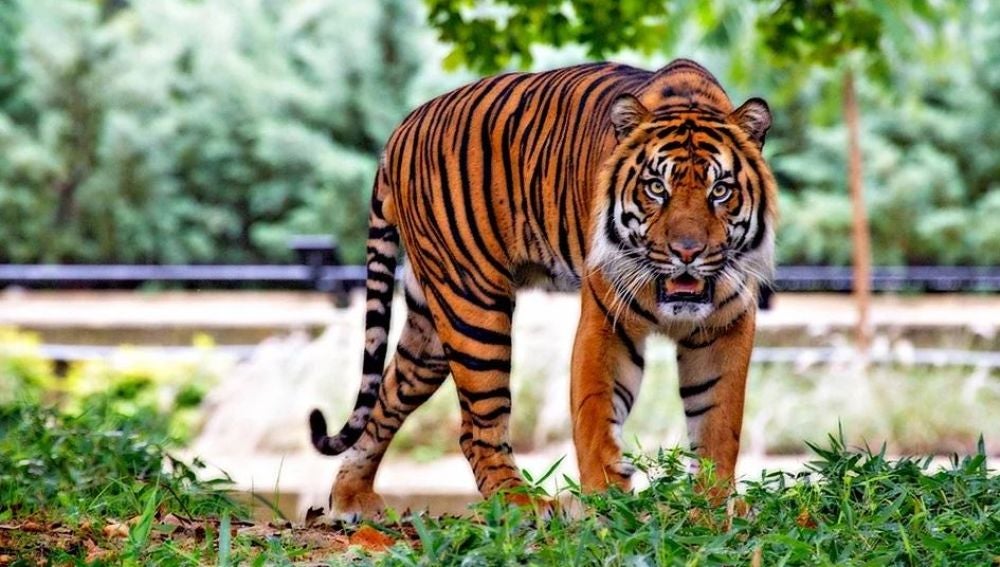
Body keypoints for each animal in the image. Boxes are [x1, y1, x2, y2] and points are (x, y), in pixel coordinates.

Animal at [309, 58, 777, 519]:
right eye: (656, 188)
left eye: (720, 190)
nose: (687, 252)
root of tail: (401, 128)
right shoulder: (606, 321)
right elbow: (596, 415)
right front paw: (608, 506)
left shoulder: (726, 325)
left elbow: (718, 423)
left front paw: (710, 509)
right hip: (473, 307)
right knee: (476, 428)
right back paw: (522, 504)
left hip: (430, 328)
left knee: (387, 398)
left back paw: (351, 497)